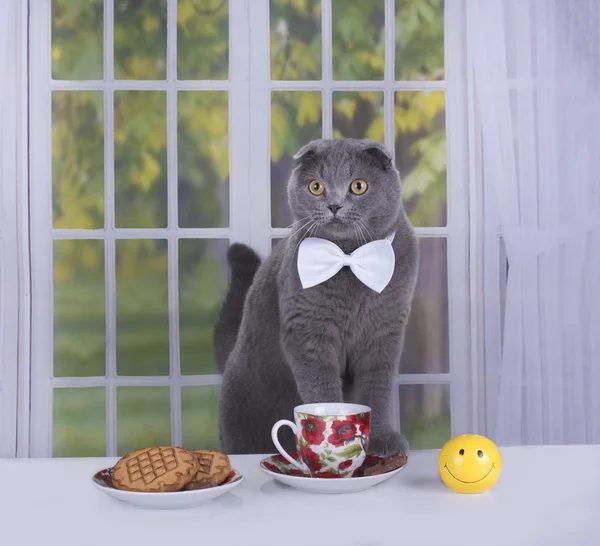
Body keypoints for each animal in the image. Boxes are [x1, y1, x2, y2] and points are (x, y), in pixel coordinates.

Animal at [214, 137, 418, 454]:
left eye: (358, 186)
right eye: (316, 186)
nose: (334, 205)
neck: (348, 259)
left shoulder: (385, 332)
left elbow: (377, 389)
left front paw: (383, 440)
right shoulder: (308, 331)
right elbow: (322, 390)